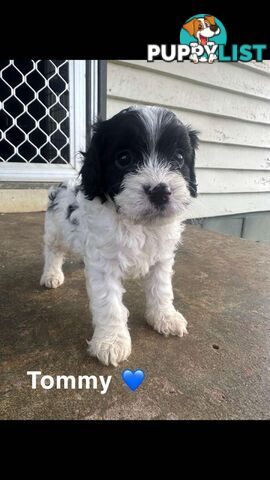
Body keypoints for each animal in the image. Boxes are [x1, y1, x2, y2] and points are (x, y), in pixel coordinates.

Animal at [41, 107, 199, 366]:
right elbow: (110, 305)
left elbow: (162, 289)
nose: (160, 191)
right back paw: (51, 275)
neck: (138, 224)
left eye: (178, 158)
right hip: (56, 230)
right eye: (124, 159)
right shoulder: (104, 266)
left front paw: (164, 317)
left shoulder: (162, 258)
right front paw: (111, 342)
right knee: (52, 251)